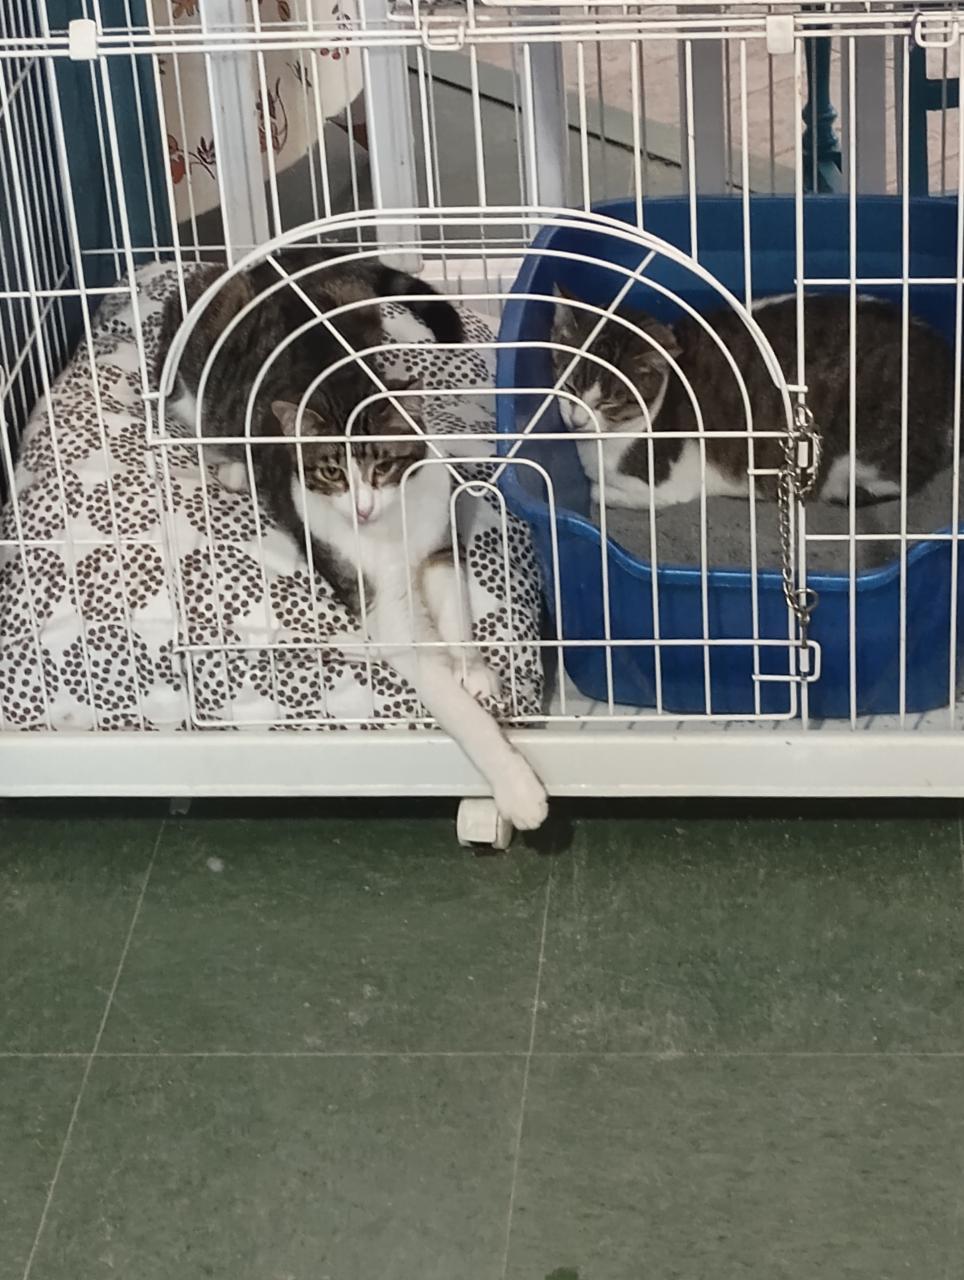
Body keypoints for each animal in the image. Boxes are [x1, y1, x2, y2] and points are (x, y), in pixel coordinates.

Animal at [155, 254, 548, 831]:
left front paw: (473, 670)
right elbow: (442, 687)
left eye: (382, 466)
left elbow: (454, 609)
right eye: (332, 473)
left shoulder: (437, 542)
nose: (362, 509)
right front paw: (518, 789)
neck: (390, 530)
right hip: (194, 361)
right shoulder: (380, 603)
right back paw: (232, 467)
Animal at [551, 287, 954, 511]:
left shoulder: (665, 486)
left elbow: (599, 492)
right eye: (569, 386)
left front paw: (598, 491)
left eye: (609, 401)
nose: (577, 421)